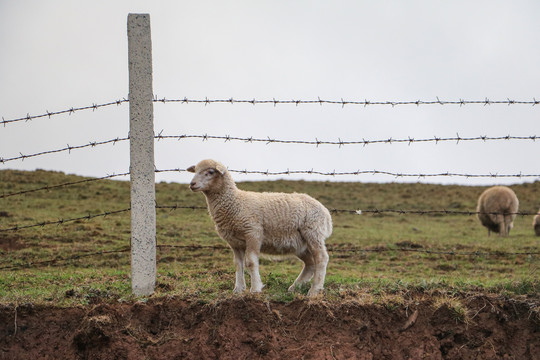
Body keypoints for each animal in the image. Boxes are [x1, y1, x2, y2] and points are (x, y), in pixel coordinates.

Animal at [187, 159, 334, 296]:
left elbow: (251, 262)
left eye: (211, 172)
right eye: (195, 171)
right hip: (298, 243)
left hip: (313, 232)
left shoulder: (253, 233)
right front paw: (238, 289)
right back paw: (295, 287)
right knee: (310, 263)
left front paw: (255, 289)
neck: (234, 202)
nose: (192, 184)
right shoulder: (234, 242)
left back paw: (314, 290)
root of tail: (325, 212)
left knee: (321, 258)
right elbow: (238, 264)